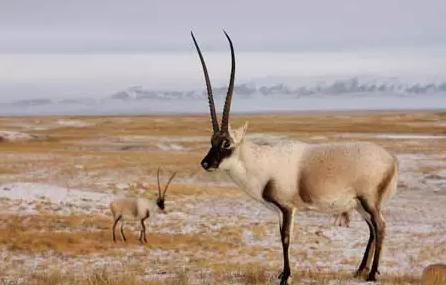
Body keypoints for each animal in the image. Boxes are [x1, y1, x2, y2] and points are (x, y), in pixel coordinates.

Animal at [190, 30, 398, 282]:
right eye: (211, 141)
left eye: (226, 143)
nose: (205, 163)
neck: (261, 161)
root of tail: (391, 160)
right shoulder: (280, 211)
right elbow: (281, 237)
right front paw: (282, 272)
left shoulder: (288, 207)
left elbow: (286, 238)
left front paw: (286, 276)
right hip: (360, 204)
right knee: (372, 230)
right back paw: (360, 270)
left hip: (369, 201)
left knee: (380, 227)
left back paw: (372, 274)